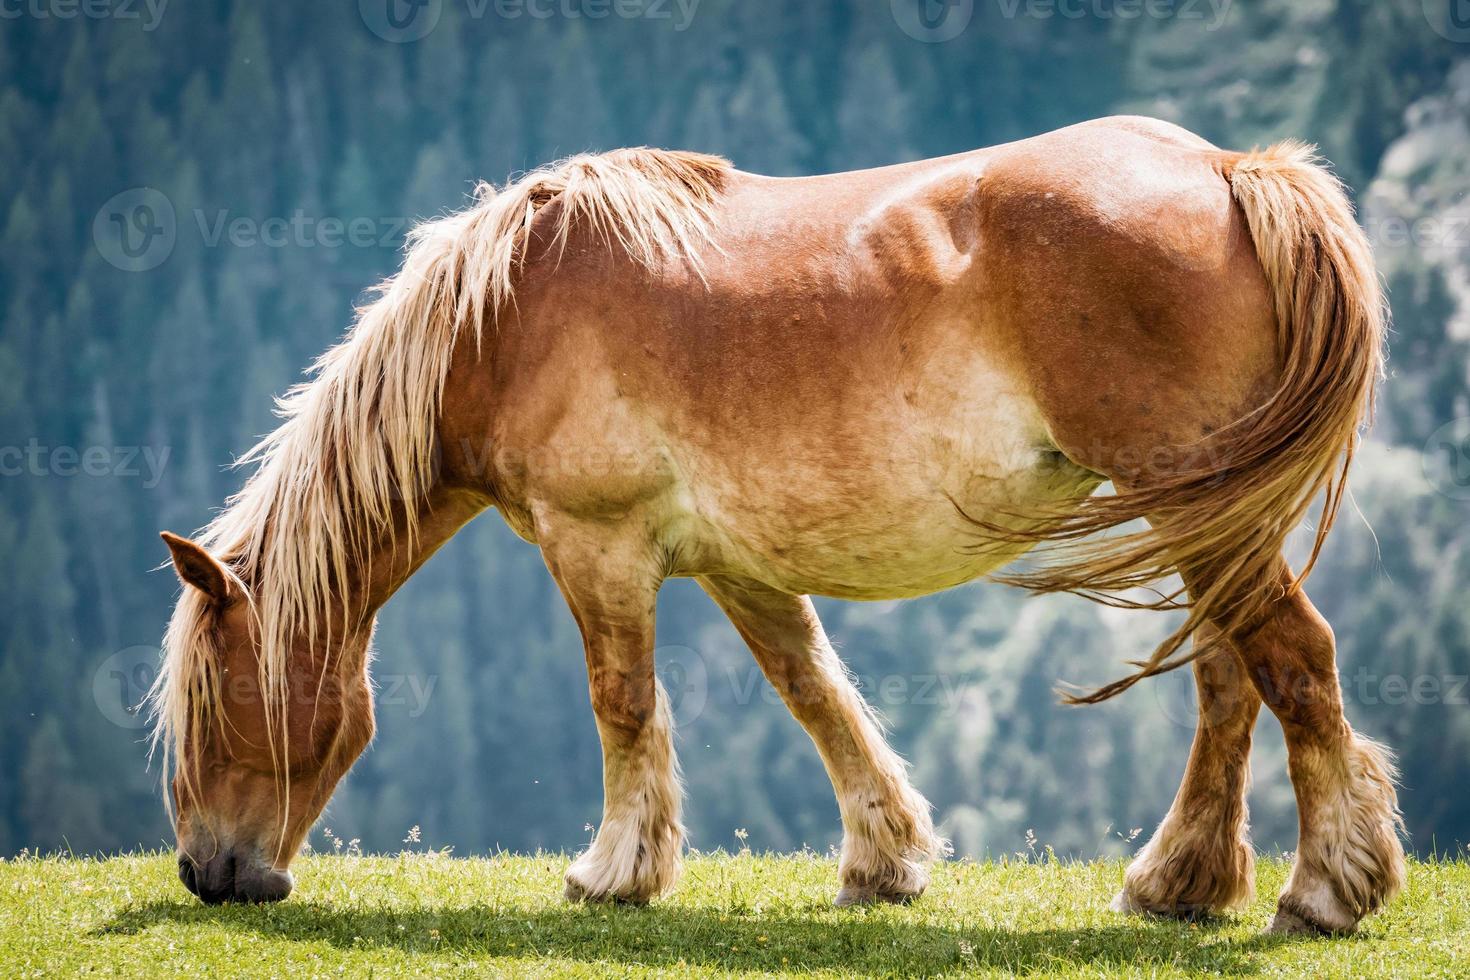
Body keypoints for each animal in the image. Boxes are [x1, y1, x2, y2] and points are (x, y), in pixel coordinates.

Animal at [152, 116, 1399, 934]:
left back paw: (1323, 889)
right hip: (1201, 515)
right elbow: (816, 692)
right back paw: (1179, 881)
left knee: (1294, 659)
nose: (209, 870)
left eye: (214, 698)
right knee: (1230, 680)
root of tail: (1228, 170)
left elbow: (622, 700)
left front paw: (613, 871)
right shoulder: (738, 565)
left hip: (1197, 507)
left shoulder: (596, 543)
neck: (501, 317)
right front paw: (884, 859)